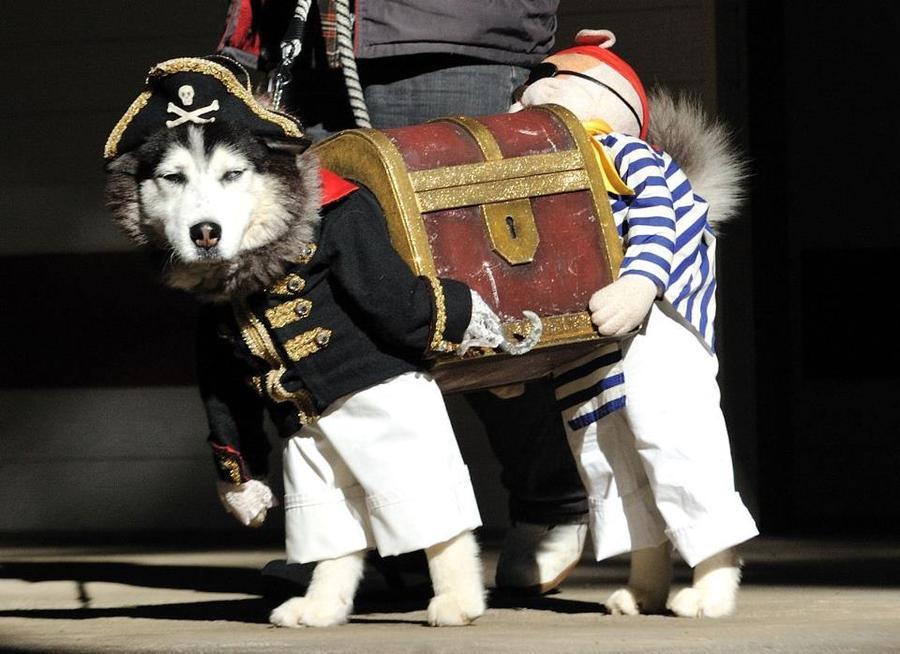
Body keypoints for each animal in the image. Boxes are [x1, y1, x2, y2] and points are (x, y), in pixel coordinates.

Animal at [102, 56, 536, 632]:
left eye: (233, 175)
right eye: (173, 178)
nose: (205, 232)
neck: (258, 263)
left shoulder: (358, 242)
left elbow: (404, 304)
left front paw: (478, 321)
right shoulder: (214, 342)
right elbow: (227, 404)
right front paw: (242, 491)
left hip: (396, 431)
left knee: (431, 508)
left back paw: (457, 599)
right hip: (314, 459)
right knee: (337, 529)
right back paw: (321, 605)